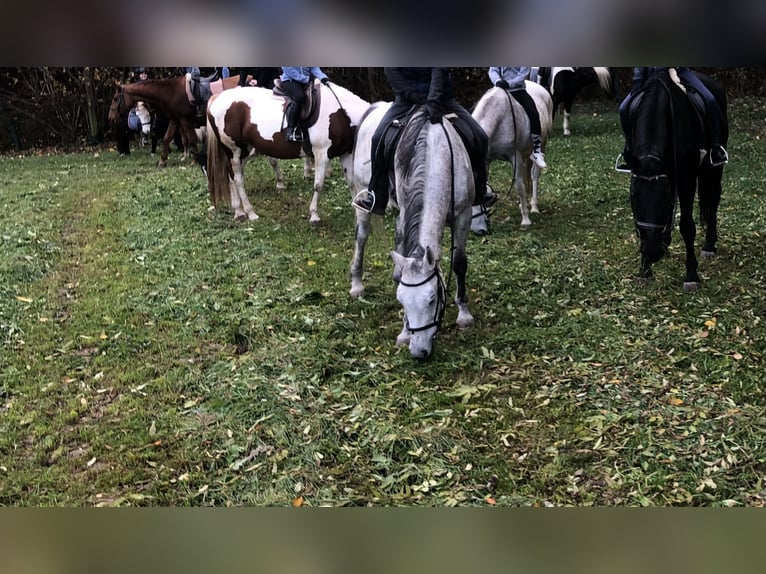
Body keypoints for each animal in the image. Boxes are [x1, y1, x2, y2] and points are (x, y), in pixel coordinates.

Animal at [106, 73, 246, 168]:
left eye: (115, 98)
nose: (110, 117)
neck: (170, 92)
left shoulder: (185, 120)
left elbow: (191, 138)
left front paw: (195, 160)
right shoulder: (175, 119)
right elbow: (167, 138)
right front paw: (162, 161)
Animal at [206, 82, 370, 224]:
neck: (342, 114)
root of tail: (217, 98)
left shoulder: (346, 153)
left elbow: (351, 182)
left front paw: (358, 214)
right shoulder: (321, 154)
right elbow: (318, 185)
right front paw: (314, 215)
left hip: (244, 151)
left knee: (232, 177)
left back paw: (239, 212)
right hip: (234, 150)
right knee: (238, 180)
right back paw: (250, 212)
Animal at [472, 80, 556, 232]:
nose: (479, 231)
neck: (497, 119)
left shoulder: (515, 157)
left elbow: (519, 186)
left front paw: (526, 220)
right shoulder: (486, 160)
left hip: (543, 142)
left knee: (534, 174)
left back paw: (534, 206)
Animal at [624, 68, 728, 292]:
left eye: (662, 200)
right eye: (634, 199)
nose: (653, 251)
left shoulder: (686, 179)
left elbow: (687, 227)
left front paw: (691, 275)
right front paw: (645, 270)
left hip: (713, 169)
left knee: (713, 200)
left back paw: (709, 246)